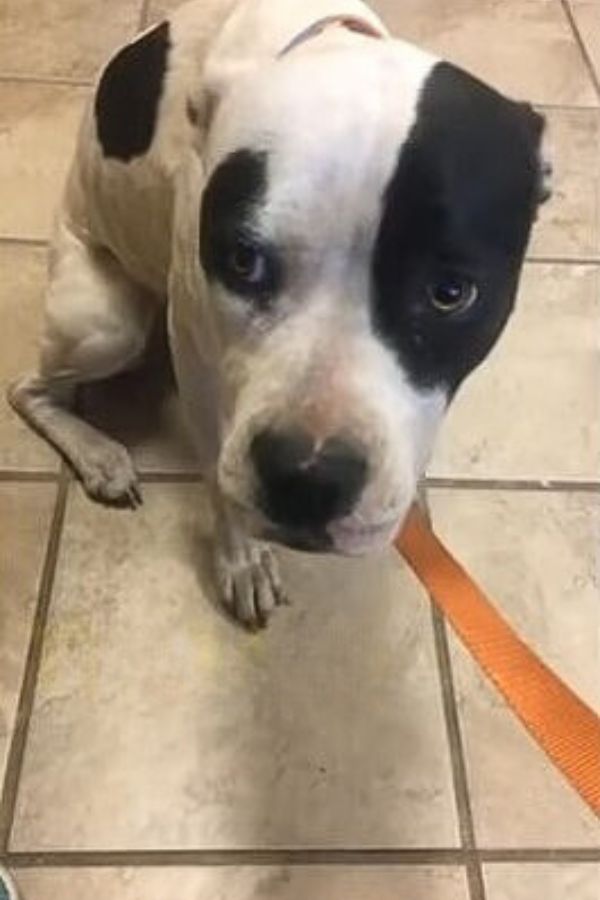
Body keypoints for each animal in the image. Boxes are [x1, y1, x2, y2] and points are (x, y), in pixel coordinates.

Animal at [9, 0, 552, 628]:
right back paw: (97, 453)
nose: (308, 478)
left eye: (450, 292)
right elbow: (218, 474)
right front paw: (242, 559)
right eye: (242, 262)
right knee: (30, 389)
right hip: (106, 327)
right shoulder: (198, 357)